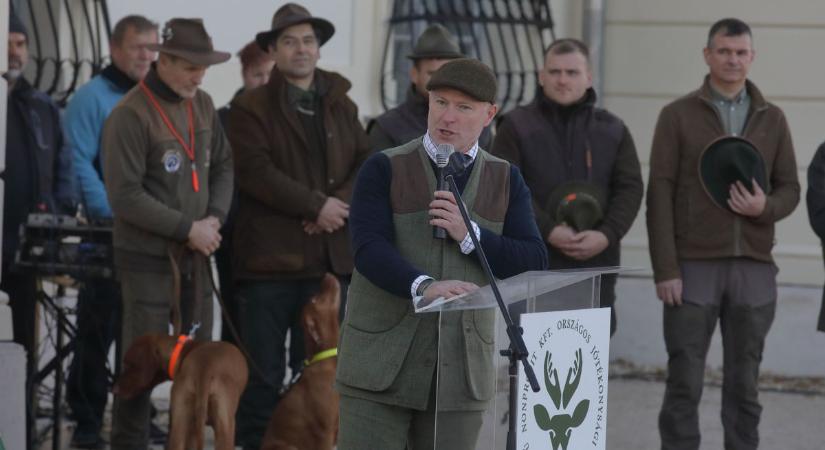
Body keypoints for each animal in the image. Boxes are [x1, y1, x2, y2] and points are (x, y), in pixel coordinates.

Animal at [113, 334, 248, 450]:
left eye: (129, 365)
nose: (114, 389)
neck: (182, 352)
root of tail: (205, 367)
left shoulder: (191, 428)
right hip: (225, 429)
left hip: (180, 425)